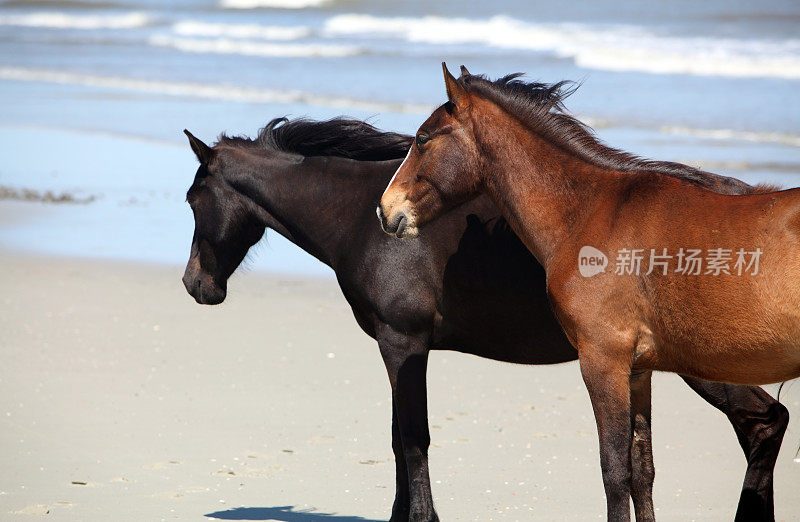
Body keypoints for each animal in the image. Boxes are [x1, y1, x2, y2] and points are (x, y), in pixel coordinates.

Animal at [181, 118, 788, 520]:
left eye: (192, 199)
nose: (195, 285)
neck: (363, 220)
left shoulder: (403, 344)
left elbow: (413, 439)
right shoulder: (398, 350)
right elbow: (399, 438)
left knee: (764, 423)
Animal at [380, 65, 800, 520]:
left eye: (423, 138)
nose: (386, 211)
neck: (590, 213)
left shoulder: (603, 361)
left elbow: (615, 472)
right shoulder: (638, 371)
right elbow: (643, 471)